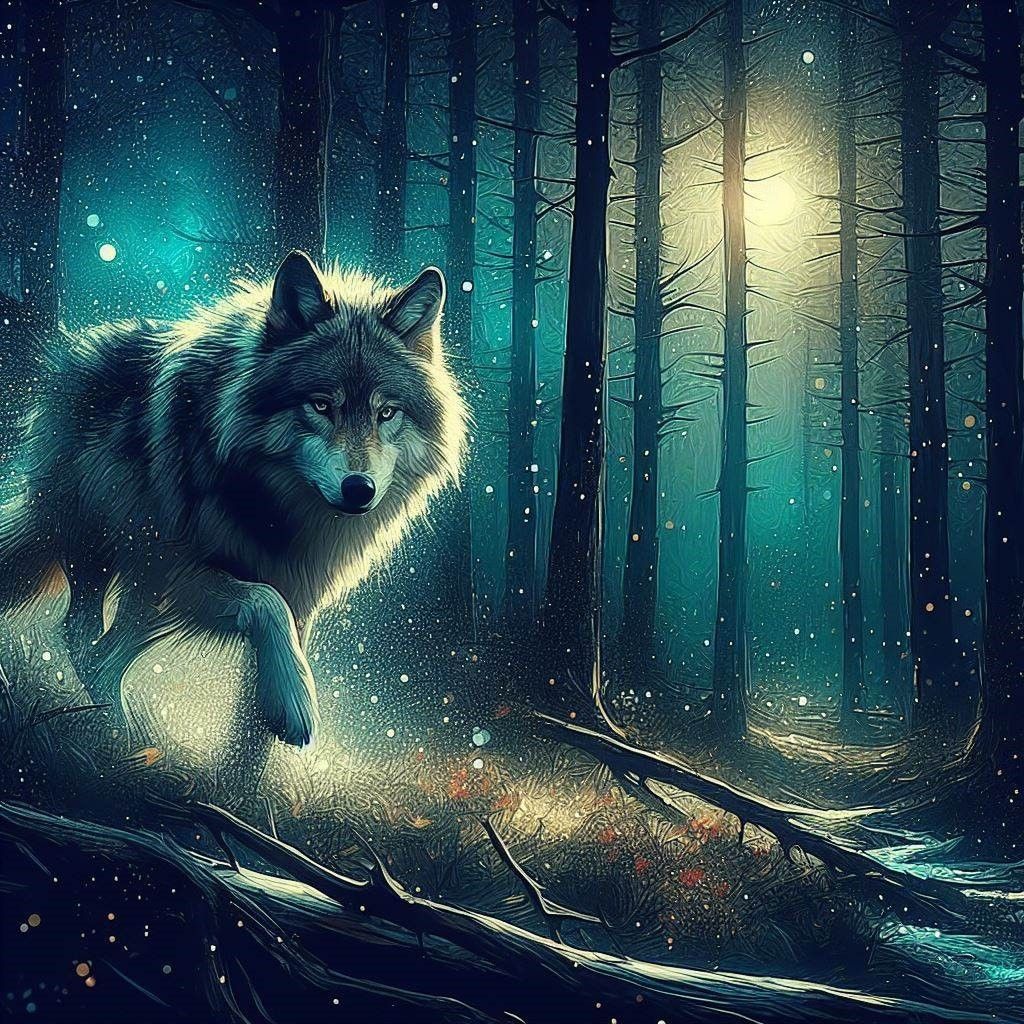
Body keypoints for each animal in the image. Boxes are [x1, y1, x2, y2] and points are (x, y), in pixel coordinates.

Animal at [0, 251, 467, 746]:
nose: (359, 489)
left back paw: (125, 740)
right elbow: (266, 601)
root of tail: (77, 352)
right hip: (111, 554)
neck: (274, 508)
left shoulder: (300, 593)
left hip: (145, 595)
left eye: (387, 412)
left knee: (103, 654)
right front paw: (295, 703)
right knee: (82, 636)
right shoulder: (181, 569)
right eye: (321, 405)